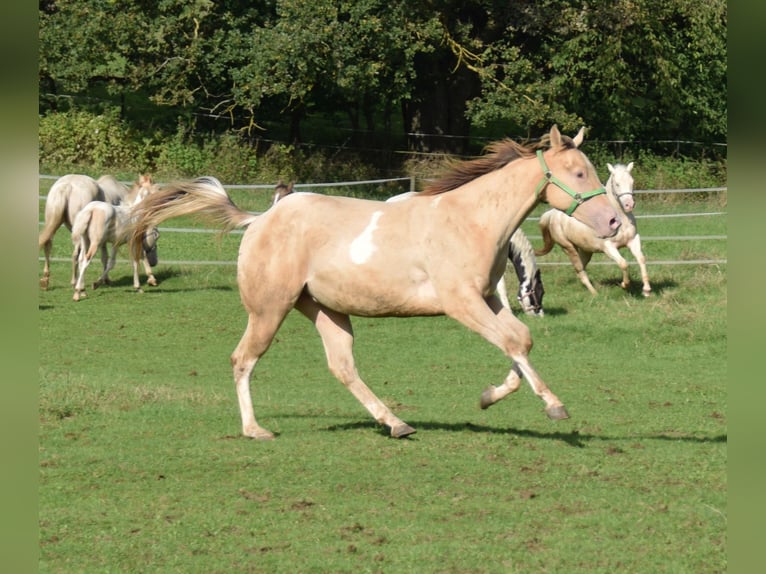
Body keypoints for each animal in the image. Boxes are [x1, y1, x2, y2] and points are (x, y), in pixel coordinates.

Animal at [130, 127, 624, 440]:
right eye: (579, 173)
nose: (616, 222)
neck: (470, 219)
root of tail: (259, 219)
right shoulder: (462, 303)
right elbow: (514, 342)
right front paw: (553, 405)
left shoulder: (487, 298)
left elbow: (519, 339)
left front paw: (488, 397)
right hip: (269, 309)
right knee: (243, 359)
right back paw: (255, 430)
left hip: (326, 310)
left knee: (342, 366)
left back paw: (396, 423)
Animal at [536, 162, 656, 296]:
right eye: (617, 184)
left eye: (632, 182)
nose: (629, 205)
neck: (622, 220)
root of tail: (552, 214)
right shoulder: (608, 247)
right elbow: (623, 263)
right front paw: (624, 284)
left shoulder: (633, 240)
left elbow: (641, 259)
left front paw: (646, 290)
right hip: (568, 247)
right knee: (580, 269)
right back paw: (594, 293)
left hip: (586, 250)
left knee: (580, 269)